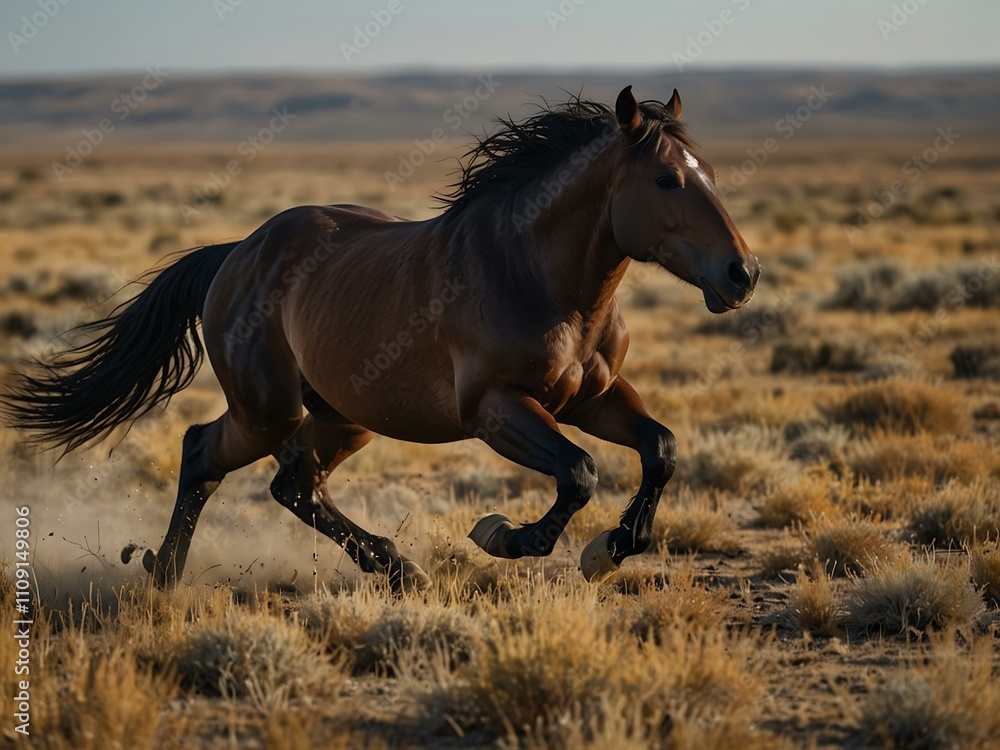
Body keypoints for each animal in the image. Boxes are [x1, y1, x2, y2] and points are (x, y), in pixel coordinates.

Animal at [3, 85, 758, 591]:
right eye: (666, 179)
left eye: (713, 176)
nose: (742, 273)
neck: (539, 277)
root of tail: (236, 253)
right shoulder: (496, 408)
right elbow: (577, 472)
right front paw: (506, 537)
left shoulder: (591, 399)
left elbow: (660, 450)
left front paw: (609, 550)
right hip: (268, 409)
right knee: (203, 454)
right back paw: (167, 573)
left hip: (345, 416)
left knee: (293, 486)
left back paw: (390, 566)